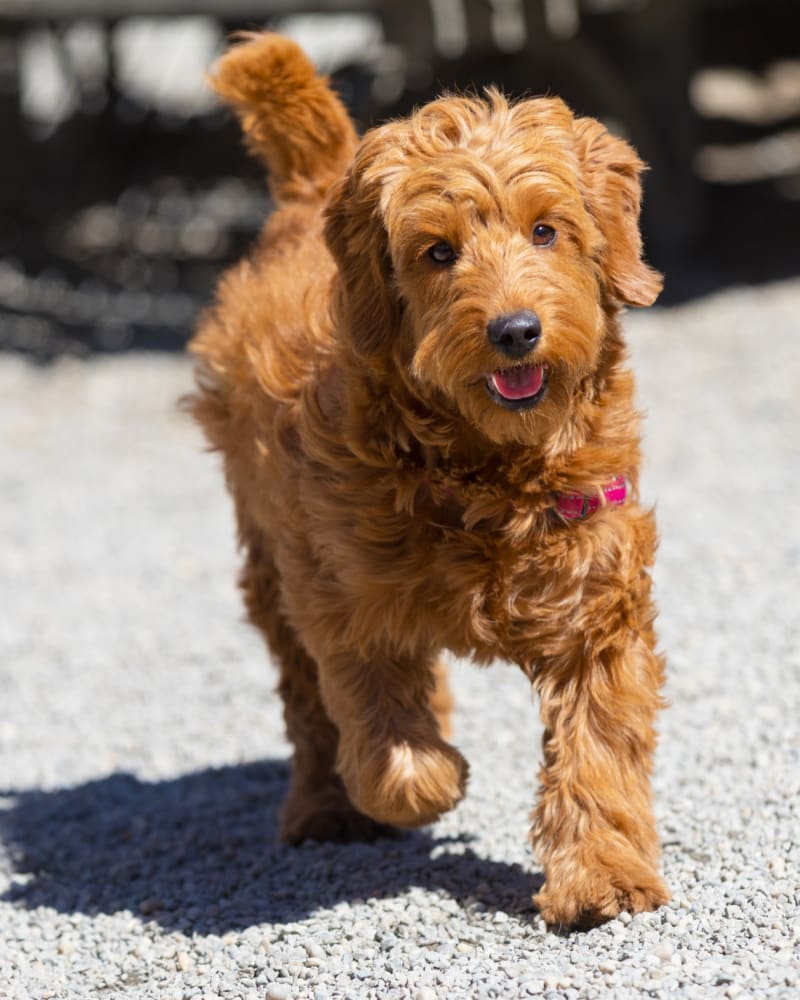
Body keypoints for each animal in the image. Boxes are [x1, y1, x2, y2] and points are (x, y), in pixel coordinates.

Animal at [191, 31, 672, 932]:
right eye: (437, 252)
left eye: (547, 230)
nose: (515, 331)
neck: (489, 465)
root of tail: (313, 191)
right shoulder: (341, 592)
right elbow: (385, 738)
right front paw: (428, 781)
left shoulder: (597, 597)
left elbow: (598, 747)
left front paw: (601, 876)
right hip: (269, 559)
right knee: (307, 701)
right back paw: (324, 807)